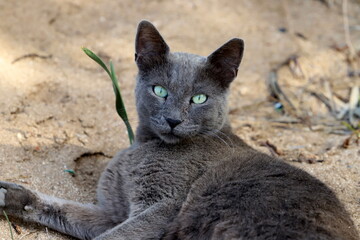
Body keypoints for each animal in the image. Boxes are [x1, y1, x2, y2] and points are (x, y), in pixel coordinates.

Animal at [0, 20, 360, 240]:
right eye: (159, 91)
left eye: (199, 98)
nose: (173, 120)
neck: (144, 147)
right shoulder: (115, 211)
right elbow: (68, 211)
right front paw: (13, 196)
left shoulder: (162, 208)